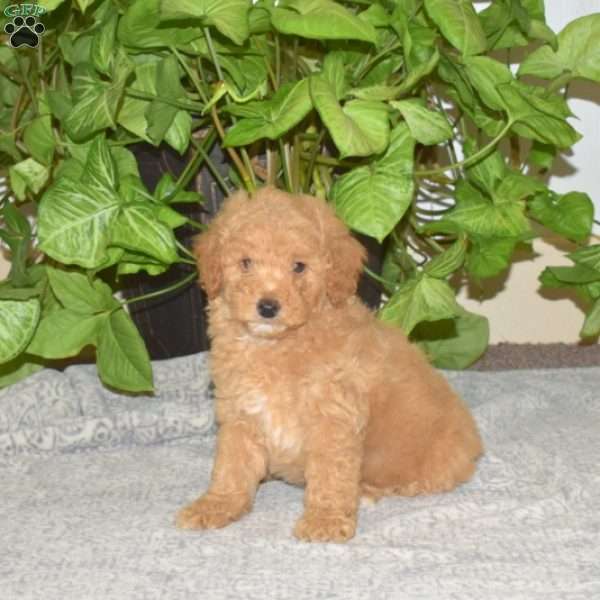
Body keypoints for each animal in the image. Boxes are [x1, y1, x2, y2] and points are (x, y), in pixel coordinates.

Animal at [176, 188, 480, 544]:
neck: (277, 346)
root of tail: (472, 442)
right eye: (246, 263)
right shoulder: (240, 413)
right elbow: (231, 467)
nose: (268, 307)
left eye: (299, 267)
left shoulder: (333, 418)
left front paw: (325, 520)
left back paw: (368, 491)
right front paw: (216, 505)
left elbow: (330, 474)